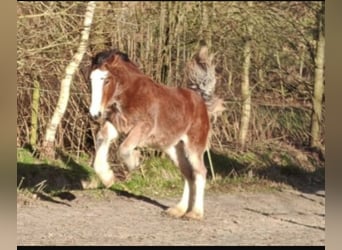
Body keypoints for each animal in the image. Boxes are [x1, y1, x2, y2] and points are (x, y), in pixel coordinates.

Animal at [87, 44, 222, 219]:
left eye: (107, 80)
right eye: (90, 79)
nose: (95, 114)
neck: (131, 95)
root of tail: (201, 101)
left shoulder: (144, 127)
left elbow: (124, 148)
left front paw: (134, 160)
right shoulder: (116, 124)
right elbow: (103, 137)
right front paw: (108, 178)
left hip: (193, 146)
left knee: (200, 172)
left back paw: (195, 213)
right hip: (174, 148)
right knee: (187, 173)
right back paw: (178, 210)